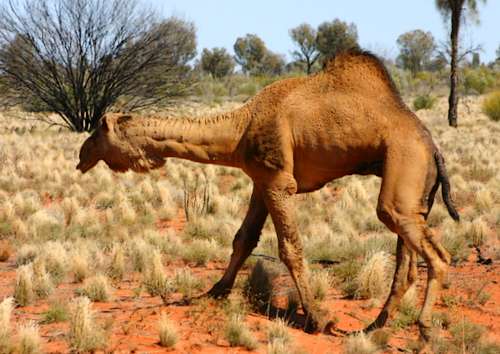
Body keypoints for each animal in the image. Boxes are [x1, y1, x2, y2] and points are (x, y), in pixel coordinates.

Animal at [77, 49, 458, 340]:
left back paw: (424, 332)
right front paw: (214, 292)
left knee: (436, 255)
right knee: (406, 265)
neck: (239, 129)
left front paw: (318, 319)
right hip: (414, 191)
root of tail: (435, 148)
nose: (81, 155)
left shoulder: (278, 180)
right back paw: (372, 327)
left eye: (98, 130)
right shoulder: (260, 181)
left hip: (404, 167)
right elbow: (243, 238)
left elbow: (290, 249)